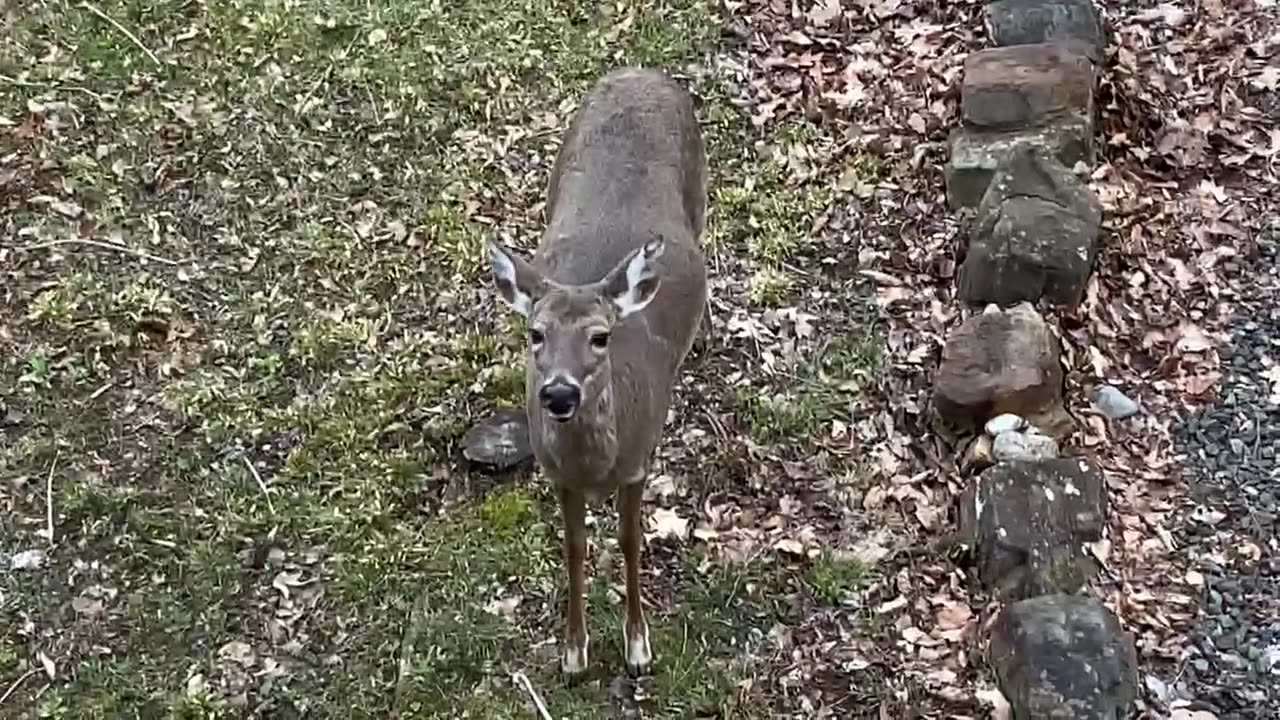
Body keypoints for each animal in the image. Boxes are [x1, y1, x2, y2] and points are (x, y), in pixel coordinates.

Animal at [481, 65, 711, 671]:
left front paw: (638, 647)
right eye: (535, 334)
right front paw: (574, 654)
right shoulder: (558, 474)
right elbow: (574, 547)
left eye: (600, 337)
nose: (559, 395)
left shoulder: (638, 461)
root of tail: (640, 71)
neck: (598, 467)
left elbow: (630, 543)